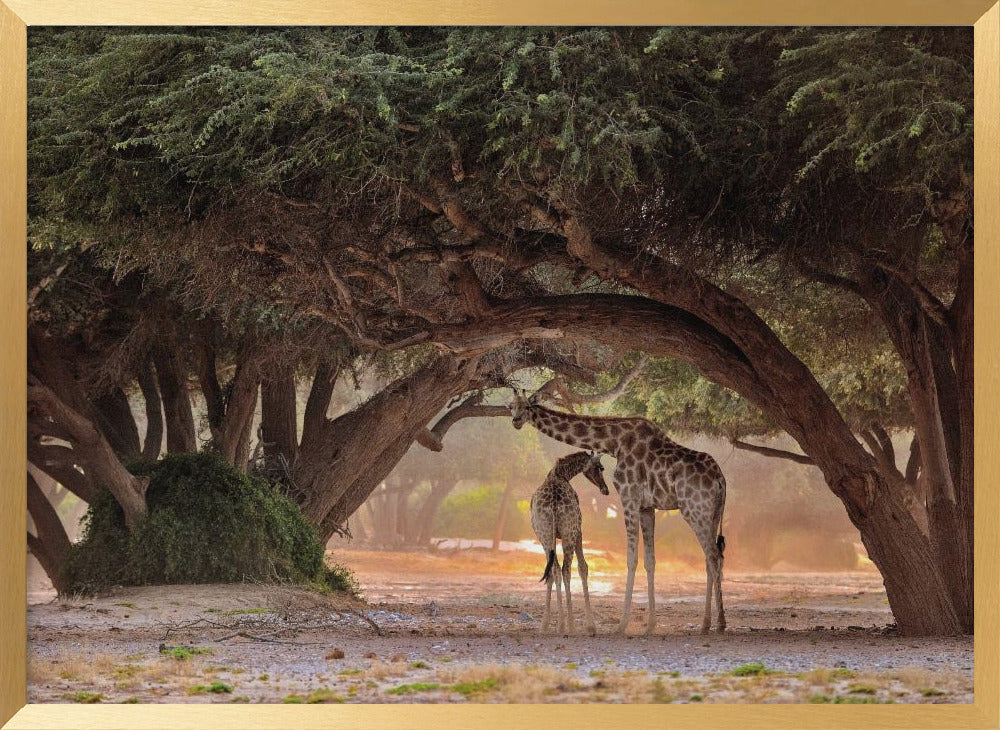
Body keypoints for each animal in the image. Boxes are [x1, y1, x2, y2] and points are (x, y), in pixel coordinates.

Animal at [530, 450, 609, 635]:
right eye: (600, 467)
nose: (605, 489)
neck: (561, 473)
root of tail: (553, 503)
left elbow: (552, 572)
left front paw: (547, 624)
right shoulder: (579, 531)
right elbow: (583, 567)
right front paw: (590, 625)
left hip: (545, 535)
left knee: (554, 570)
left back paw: (555, 624)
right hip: (569, 533)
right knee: (566, 569)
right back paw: (570, 625)